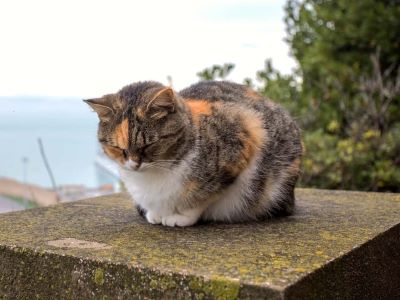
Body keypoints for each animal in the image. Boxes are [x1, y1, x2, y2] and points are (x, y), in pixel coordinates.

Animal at [84, 81, 304, 226]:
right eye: (119, 149)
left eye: (149, 145)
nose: (133, 165)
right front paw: (155, 213)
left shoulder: (244, 139)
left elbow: (203, 196)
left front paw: (180, 217)